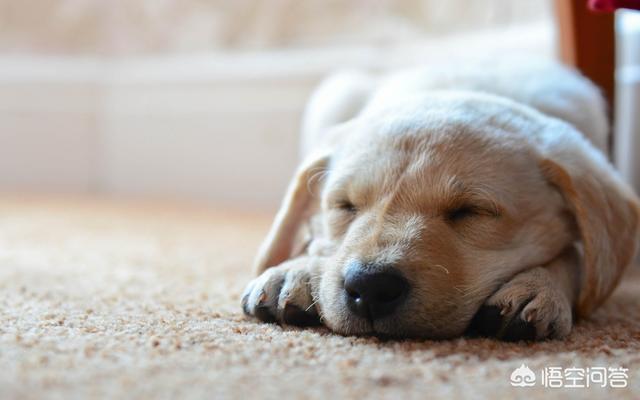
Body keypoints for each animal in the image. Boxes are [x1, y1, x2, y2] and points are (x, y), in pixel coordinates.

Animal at [241, 59, 640, 340]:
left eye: (472, 211)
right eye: (345, 206)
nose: (370, 286)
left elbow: (577, 256)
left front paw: (541, 286)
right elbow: (318, 242)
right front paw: (294, 270)